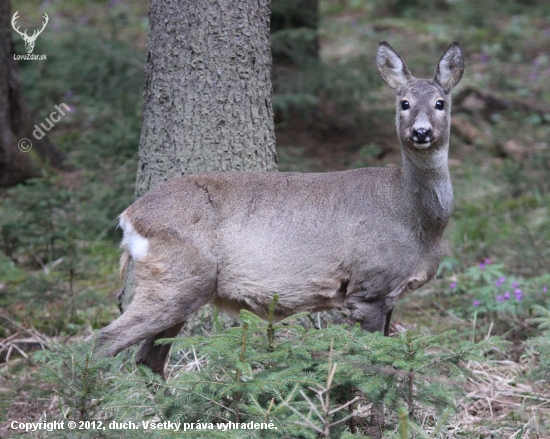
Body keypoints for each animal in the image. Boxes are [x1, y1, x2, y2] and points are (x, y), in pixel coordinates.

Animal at [97, 40, 464, 378]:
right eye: (404, 103)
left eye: (440, 103)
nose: (421, 132)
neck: (414, 218)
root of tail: (129, 216)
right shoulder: (369, 287)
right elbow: (370, 363)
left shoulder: (389, 295)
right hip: (176, 277)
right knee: (102, 342)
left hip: (184, 289)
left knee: (148, 359)